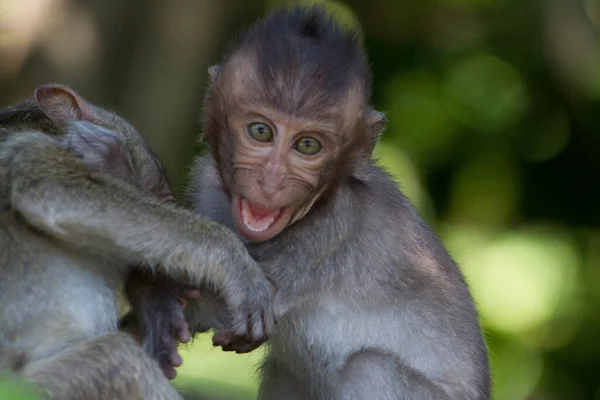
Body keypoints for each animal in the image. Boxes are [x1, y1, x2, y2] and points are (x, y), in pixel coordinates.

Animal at [0, 83, 276, 398]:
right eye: (158, 188)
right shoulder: (36, 149)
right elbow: (46, 184)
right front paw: (239, 269)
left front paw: (158, 304)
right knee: (117, 356)